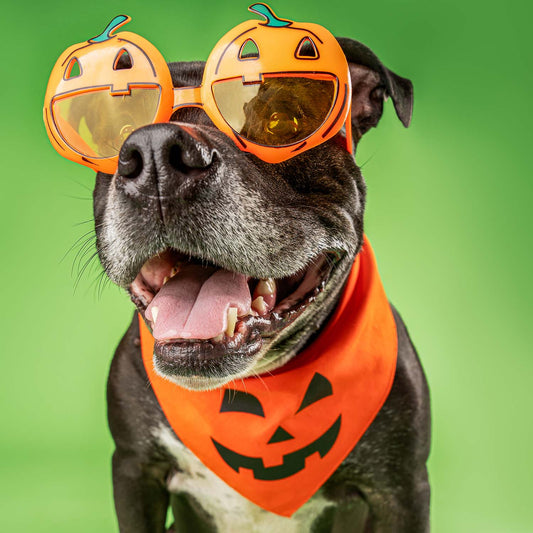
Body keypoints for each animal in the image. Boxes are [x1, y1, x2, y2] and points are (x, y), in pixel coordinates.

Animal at [90, 35, 428, 528]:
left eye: (282, 122)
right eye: (123, 129)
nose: (154, 154)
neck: (255, 382)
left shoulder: (399, 490)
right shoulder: (135, 469)